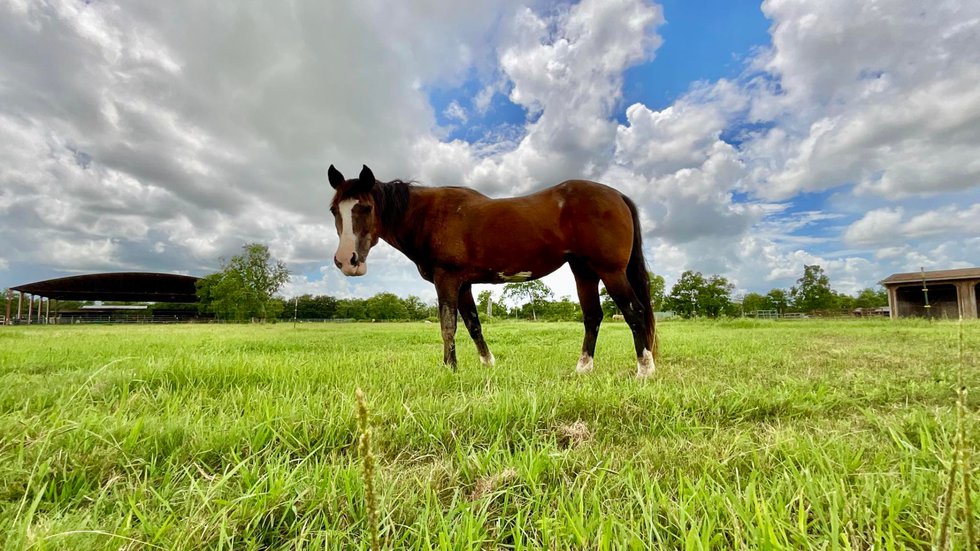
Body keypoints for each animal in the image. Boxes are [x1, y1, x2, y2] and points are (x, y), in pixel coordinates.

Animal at [330, 166, 660, 378]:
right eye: (335, 210)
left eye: (365, 208)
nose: (347, 260)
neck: (430, 216)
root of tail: (617, 196)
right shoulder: (463, 285)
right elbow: (473, 325)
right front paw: (487, 364)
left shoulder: (446, 280)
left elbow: (448, 326)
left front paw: (450, 369)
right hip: (584, 272)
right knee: (593, 316)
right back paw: (583, 368)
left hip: (611, 271)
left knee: (634, 311)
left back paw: (645, 370)